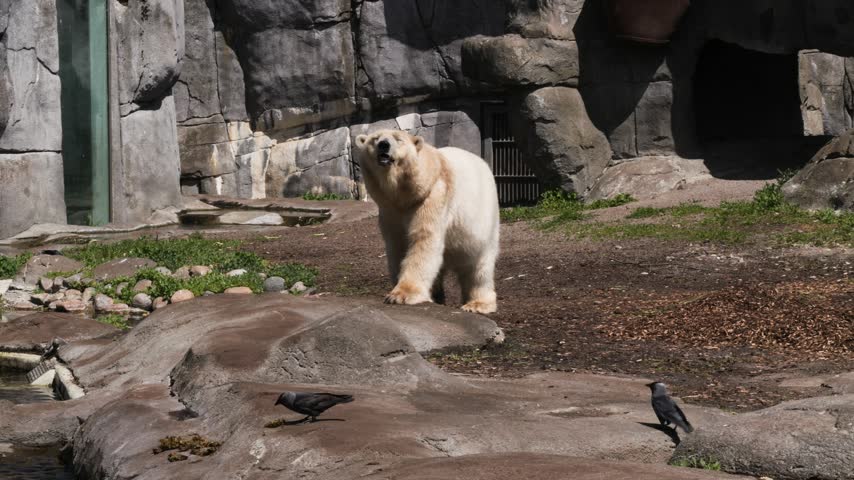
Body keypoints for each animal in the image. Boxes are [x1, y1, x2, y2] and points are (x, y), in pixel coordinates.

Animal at [354, 129, 500, 314]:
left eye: (398, 139)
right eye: (375, 139)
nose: (384, 145)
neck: (404, 195)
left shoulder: (432, 195)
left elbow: (423, 239)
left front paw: (401, 295)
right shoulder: (390, 211)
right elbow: (398, 245)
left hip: (484, 220)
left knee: (478, 264)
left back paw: (477, 304)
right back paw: (437, 296)